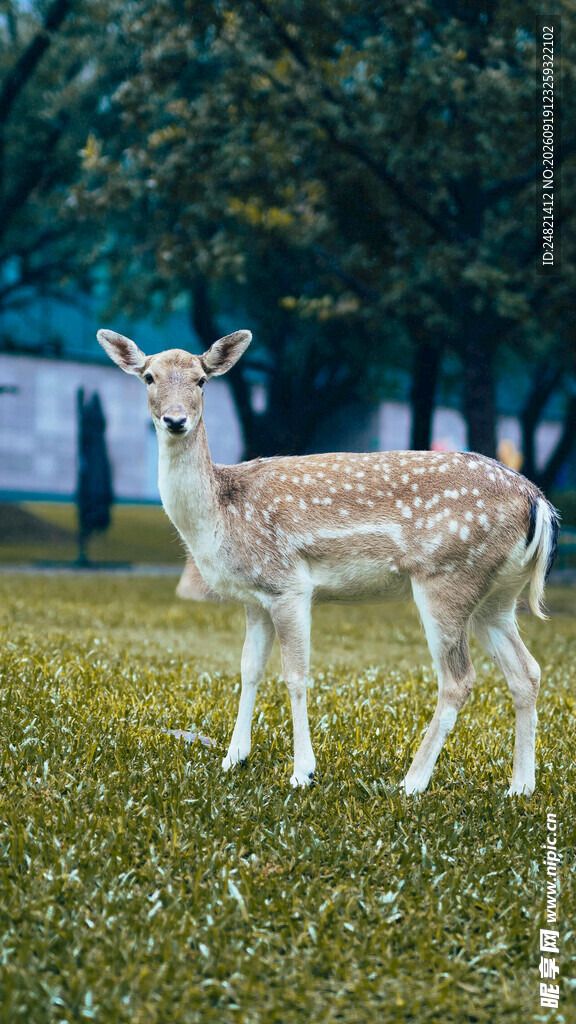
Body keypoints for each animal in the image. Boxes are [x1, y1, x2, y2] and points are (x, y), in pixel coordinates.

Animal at [98, 327, 559, 796]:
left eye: (201, 380)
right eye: (149, 377)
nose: (175, 420)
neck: (220, 515)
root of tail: (537, 502)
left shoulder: (288, 584)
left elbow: (295, 675)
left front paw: (302, 772)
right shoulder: (254, 598)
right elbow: (248, 669)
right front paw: (233, 758)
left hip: (447, 578)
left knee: (458, 681)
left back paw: (412, 783)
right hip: (496, 596)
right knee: (527, 672)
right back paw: (520, 786)